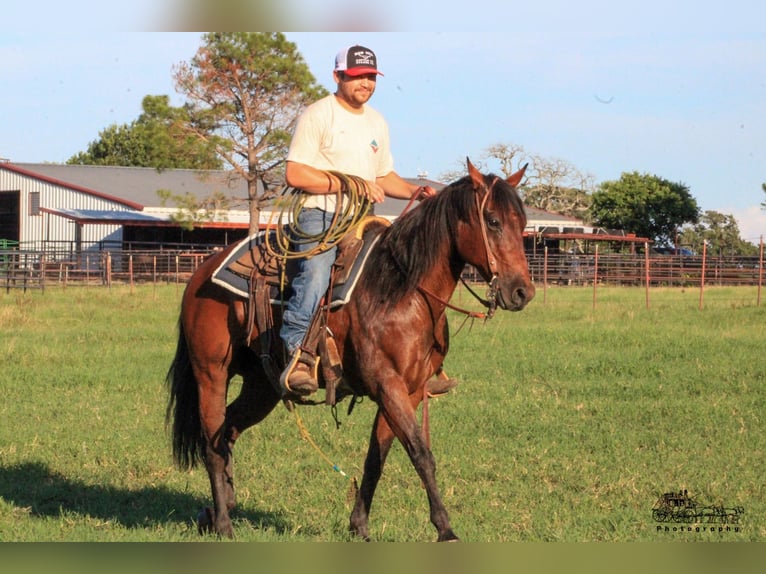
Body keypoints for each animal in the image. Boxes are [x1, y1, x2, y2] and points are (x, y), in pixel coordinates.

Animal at [166, 160, 540, 544]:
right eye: (492, 221)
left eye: (522, 223)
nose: (522, 291)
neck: (402, 291)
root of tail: (201, 272)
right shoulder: (388, 385)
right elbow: (421, 453)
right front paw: (445, 529)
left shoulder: (408, 391)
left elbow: (377, 458)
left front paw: (359, 525)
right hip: (211, 372)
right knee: (211, 443)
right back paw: (224, 524)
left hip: (262, 386)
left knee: (226, 433)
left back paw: (215, 510)